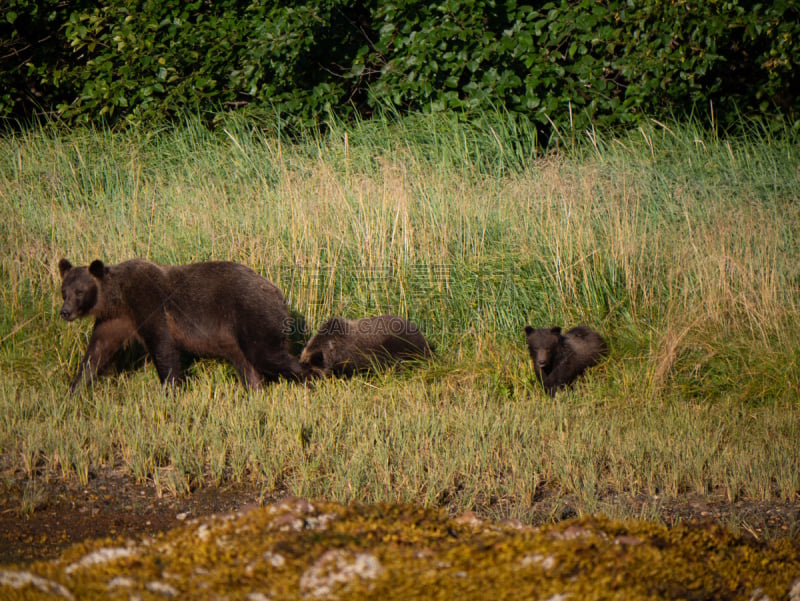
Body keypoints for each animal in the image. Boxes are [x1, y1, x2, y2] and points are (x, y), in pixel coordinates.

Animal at [57, 256, 306, 390]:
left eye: (80, 292)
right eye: (64, 292)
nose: (65, 312)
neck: (118, 298)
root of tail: (278, 293)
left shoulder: (147, 302)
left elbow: (162, 345)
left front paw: (171, 388)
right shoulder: (114, 320)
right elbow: (96, 353)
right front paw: (75, 390)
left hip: (252, 314)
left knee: (266, 354)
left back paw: (308, 375)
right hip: (238, 337)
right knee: (248, 365)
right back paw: (255, 389)